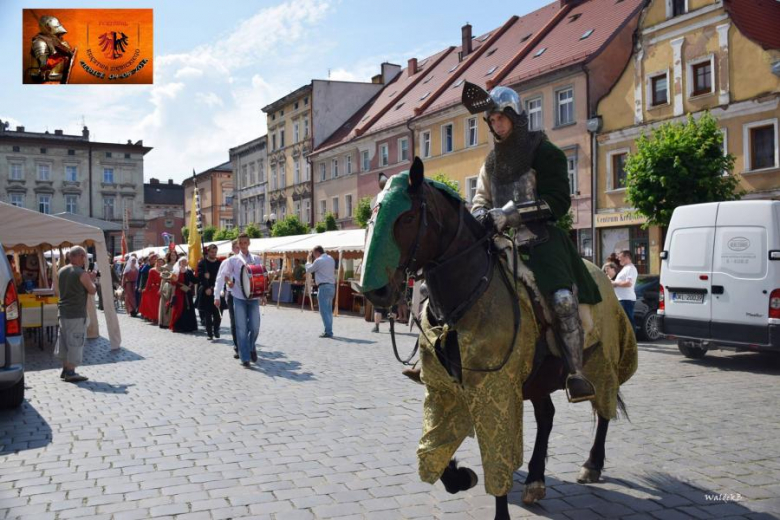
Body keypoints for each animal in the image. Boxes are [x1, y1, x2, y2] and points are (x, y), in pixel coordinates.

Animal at [362, 158, 640, 520]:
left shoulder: (497, 390)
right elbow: (432, 448)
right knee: (547, 415)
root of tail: (602, 277)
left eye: (406, 218)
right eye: (371, 218)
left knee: (603, 407)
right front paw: (461, 476)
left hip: (600, 361)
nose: (376, 293)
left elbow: (498, 453)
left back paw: (591, 464)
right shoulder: (444, 390)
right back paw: (535, 479)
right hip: (539, 377)